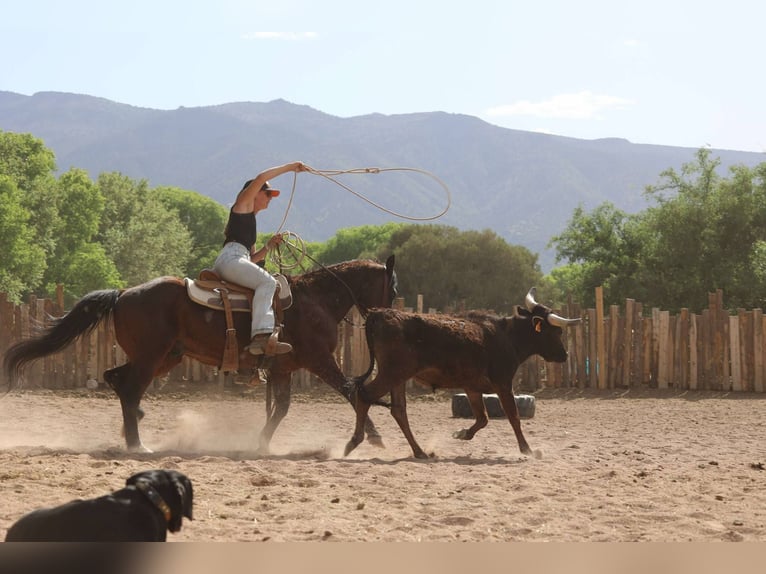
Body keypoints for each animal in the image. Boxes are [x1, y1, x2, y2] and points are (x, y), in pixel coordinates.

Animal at [3, 256, 397, 452]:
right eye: (392, 287)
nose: (386, 316)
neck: (316, 300)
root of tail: (123, 293)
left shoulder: (284, 368)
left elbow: (282, 408)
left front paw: (260, 443)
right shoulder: (320, 361)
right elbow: (351, 391)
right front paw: (374, 437)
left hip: (166, 357)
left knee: (116, 379)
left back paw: (135, 426)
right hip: (152, 357)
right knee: (128, 388)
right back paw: (137, 444)